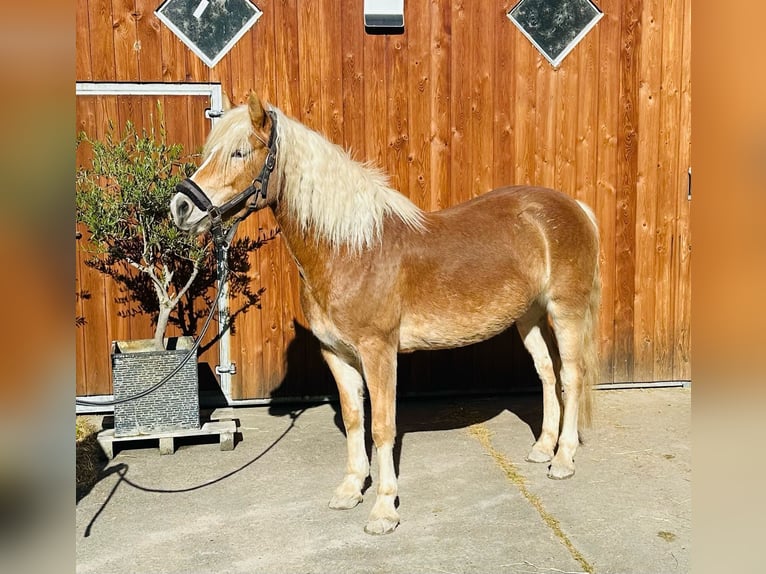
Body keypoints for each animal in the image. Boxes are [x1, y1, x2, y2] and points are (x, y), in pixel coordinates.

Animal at [171, 92, 604, 536]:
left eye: (240, 152)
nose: (181, 206)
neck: (351, 250)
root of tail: (575, 207)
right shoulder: (337, 354)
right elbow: (353, 421)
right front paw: (350, 491)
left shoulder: (378, 351)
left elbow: (381, 427)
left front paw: (383, 510)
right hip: (528, 317)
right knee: (547, 372)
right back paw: (542, 448)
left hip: (565, 311)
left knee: (570, 376)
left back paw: (563, 459)